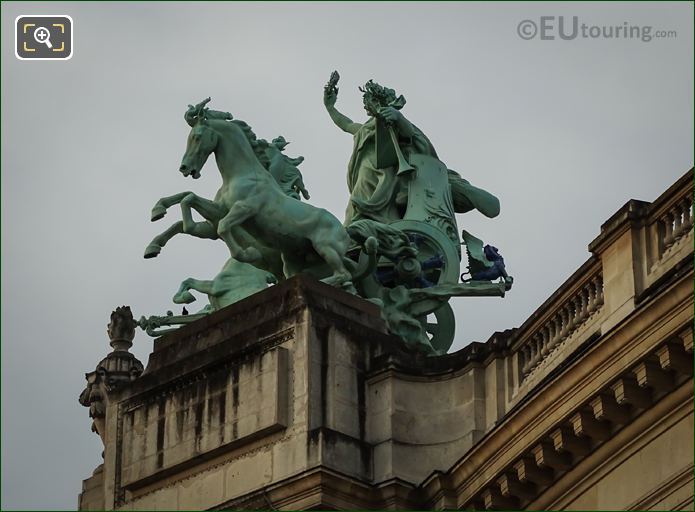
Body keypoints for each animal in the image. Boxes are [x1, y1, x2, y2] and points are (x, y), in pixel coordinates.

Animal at [145, 97, 354, 288]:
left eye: (197, 136)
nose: (184, 168)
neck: (241, 175)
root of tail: (345, 233)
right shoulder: (220, 209)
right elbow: (188, 197)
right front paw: (157, 217)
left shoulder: (244, 209)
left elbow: (222, 227)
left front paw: (248, 253)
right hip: (293, 257)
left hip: (325, 248)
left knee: (344, 275)